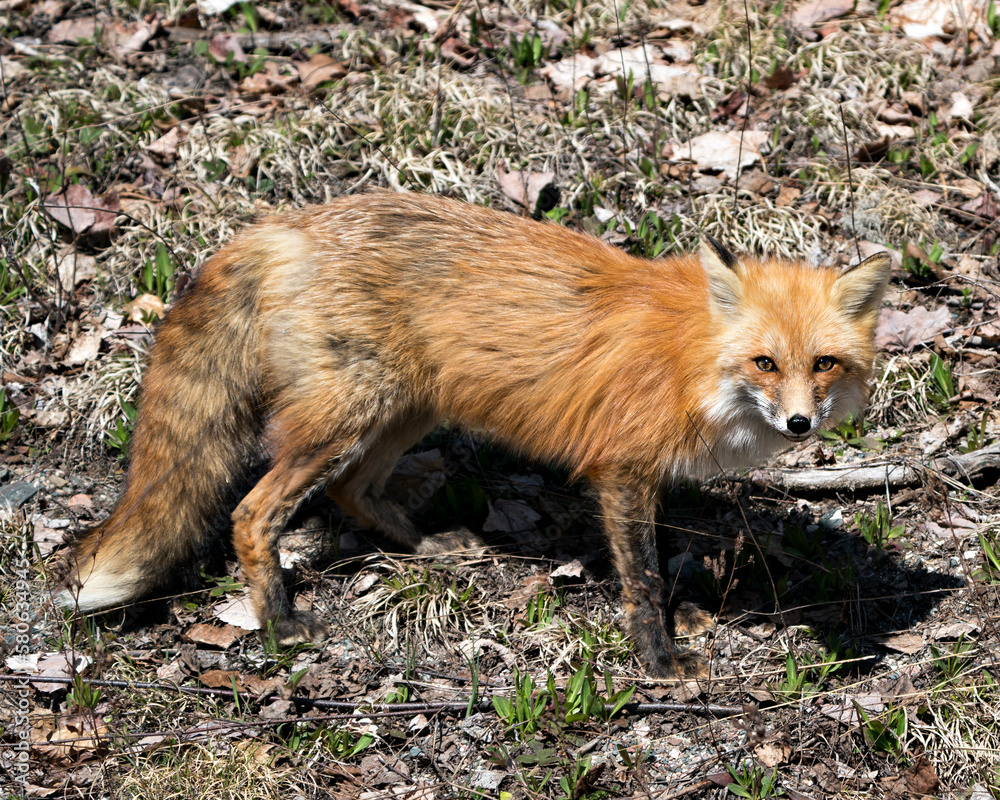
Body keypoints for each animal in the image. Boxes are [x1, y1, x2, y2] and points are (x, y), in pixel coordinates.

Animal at [59, 190, 891, 678]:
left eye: (823, 364)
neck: (691, 363)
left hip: (407, 408)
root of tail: (282, 225)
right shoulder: (623, 470)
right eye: (765, 362)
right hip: (349, 415)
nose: (799, 422)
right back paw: (283, 624)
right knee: (250, 513)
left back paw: (431, 550)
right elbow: (643, 577)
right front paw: (658, 658)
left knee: (356, 491)